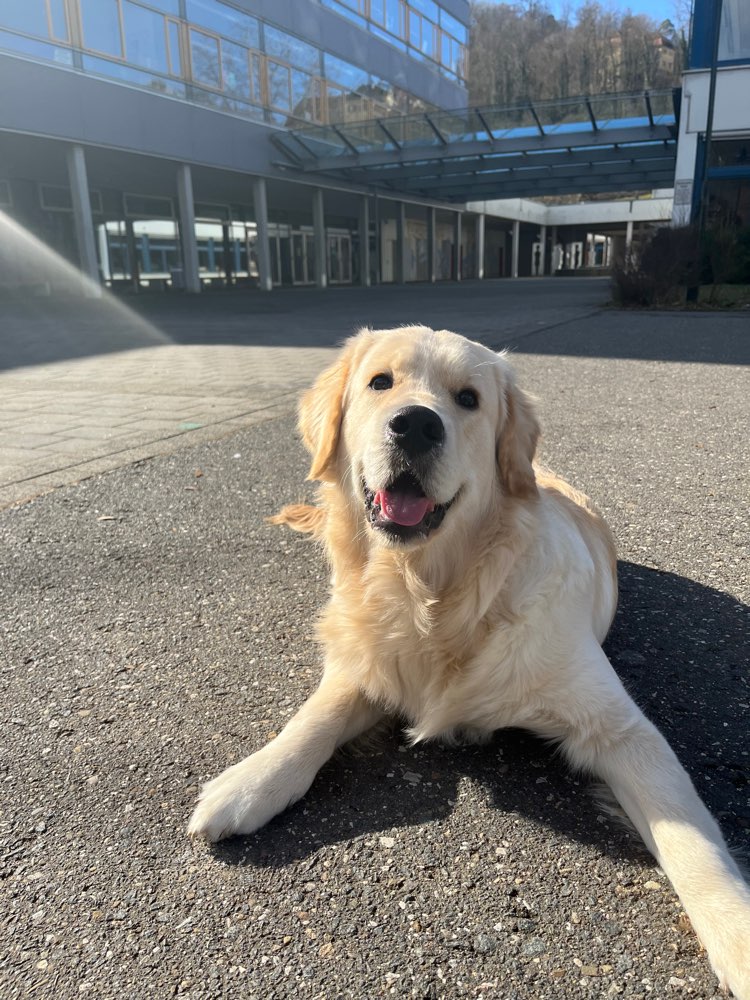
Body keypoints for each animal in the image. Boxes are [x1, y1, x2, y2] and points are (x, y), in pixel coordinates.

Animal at [191, 326, 750, 992]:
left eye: (468, 399)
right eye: (380, 382)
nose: (415, 425)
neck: (438, 594)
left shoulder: (618, 729)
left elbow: (690, 838)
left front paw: (739, 938)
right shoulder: (366, 660)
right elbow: (315, 718)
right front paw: (248, 782)